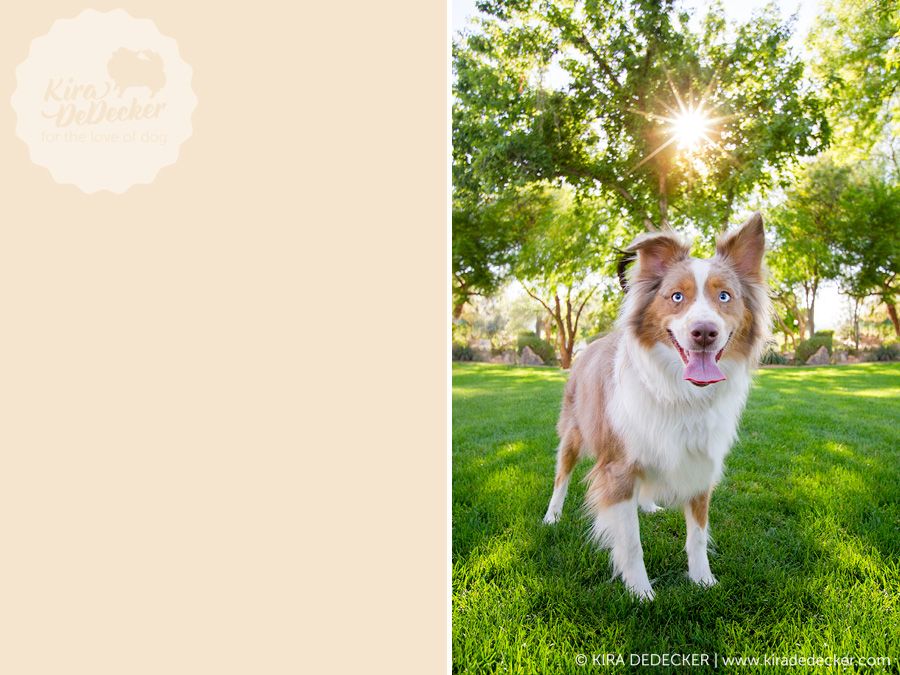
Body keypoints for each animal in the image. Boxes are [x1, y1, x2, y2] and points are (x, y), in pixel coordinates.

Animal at [536, 214, 768, 600]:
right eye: (676, 297)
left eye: (725, 296)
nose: (704, 332)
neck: (680, 391)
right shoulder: (617, 468)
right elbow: (630, 541)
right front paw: (640, 593)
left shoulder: (700, 462)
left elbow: (698, 536)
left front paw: (703, 580)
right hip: (573, 433)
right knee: (561, 476)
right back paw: (552, 516)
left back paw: (646, 504)